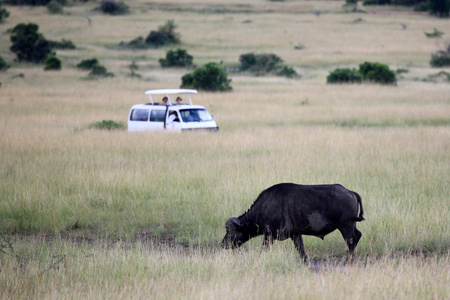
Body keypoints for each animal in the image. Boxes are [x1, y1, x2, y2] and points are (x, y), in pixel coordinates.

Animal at [221, 182, 366, 262]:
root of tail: (350, 192)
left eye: (230, 230)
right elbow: (301, 250)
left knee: (351, 240)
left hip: (345, 227)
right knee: (358, 235)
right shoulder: (295, 234)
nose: (223, 244)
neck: (264, 207)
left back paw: (347, 260)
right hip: (351, 225)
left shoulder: (269, 235)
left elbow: (263, 249)